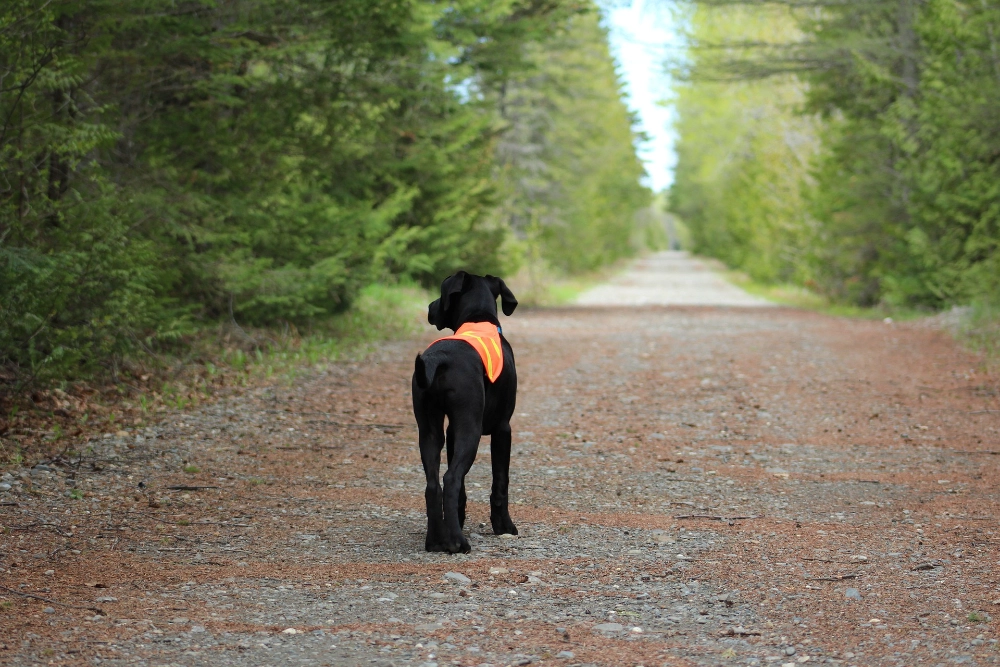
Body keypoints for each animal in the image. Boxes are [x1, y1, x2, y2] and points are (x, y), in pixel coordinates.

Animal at [410, 272, 520, 552]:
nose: (429, 307)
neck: (478, 318)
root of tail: (439, 359)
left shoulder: (451, 431)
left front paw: (457, 520)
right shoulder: (503, 428)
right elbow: (500, 482)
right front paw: (504, 526)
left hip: (429, 430)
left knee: (433, 485)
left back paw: (436, 541)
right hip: (471, 430)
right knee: (450, 479)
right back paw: (458, 542)